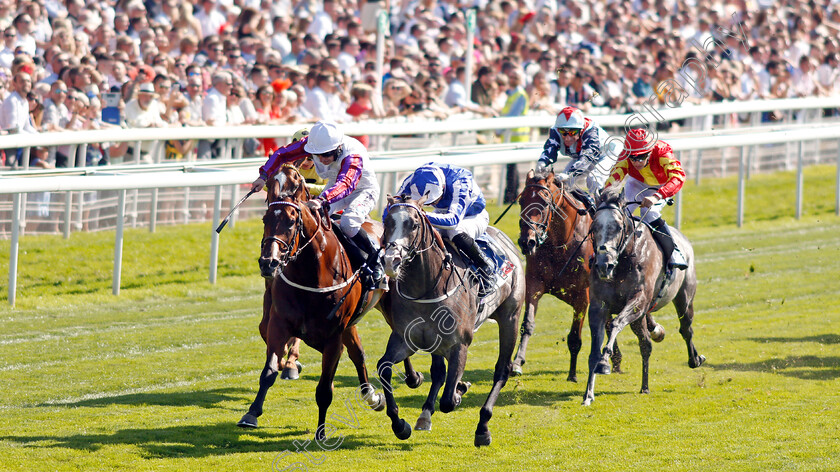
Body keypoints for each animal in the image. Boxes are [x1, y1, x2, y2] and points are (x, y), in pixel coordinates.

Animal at [240, 167, 424, 438]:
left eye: (292, 221)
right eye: (265, 219)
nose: (268, 263)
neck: (310, 275)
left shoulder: (333, 337)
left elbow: (325, 389)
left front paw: (321, 433)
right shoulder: (279, 325)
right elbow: (269, 372)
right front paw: (251, 414)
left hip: (387, 307)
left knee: (399, 337)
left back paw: (411, 378)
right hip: (351, 322)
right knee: (359, 354)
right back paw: (373, 395)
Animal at [378, 195, 520, 446]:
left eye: (413, 224)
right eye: (387, 222)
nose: (390, 260)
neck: (426, 288)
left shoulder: (459, 345)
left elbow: (448, 401)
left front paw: (459, 389)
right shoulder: (405, 339)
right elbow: (384, 368)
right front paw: (400, 425)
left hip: (510, 317)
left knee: (502, 370)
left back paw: (483, 427)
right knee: (438, 372)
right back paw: (425, 414)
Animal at [516, 170, 620, 380]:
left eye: (544, 202)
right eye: (521, 200)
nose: (526, 241)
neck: (560, 243)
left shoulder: (583, 297)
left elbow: (574, 337)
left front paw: (572, 375)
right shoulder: (534, 283)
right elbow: (527, 324)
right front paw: (516, 362)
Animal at [580, 186, 704, 408]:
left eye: (618, 227)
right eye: (594, 226)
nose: (604, 265)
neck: (623, 260)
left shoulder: (638, 300)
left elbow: (616, 324)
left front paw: (604, 362)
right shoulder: (599, 305)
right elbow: (595, 348)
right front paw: (588, 394)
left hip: (684, 297)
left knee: (685, 329)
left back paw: (695, 360)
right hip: (641, 317)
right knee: (646, 343)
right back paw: (645, 384)